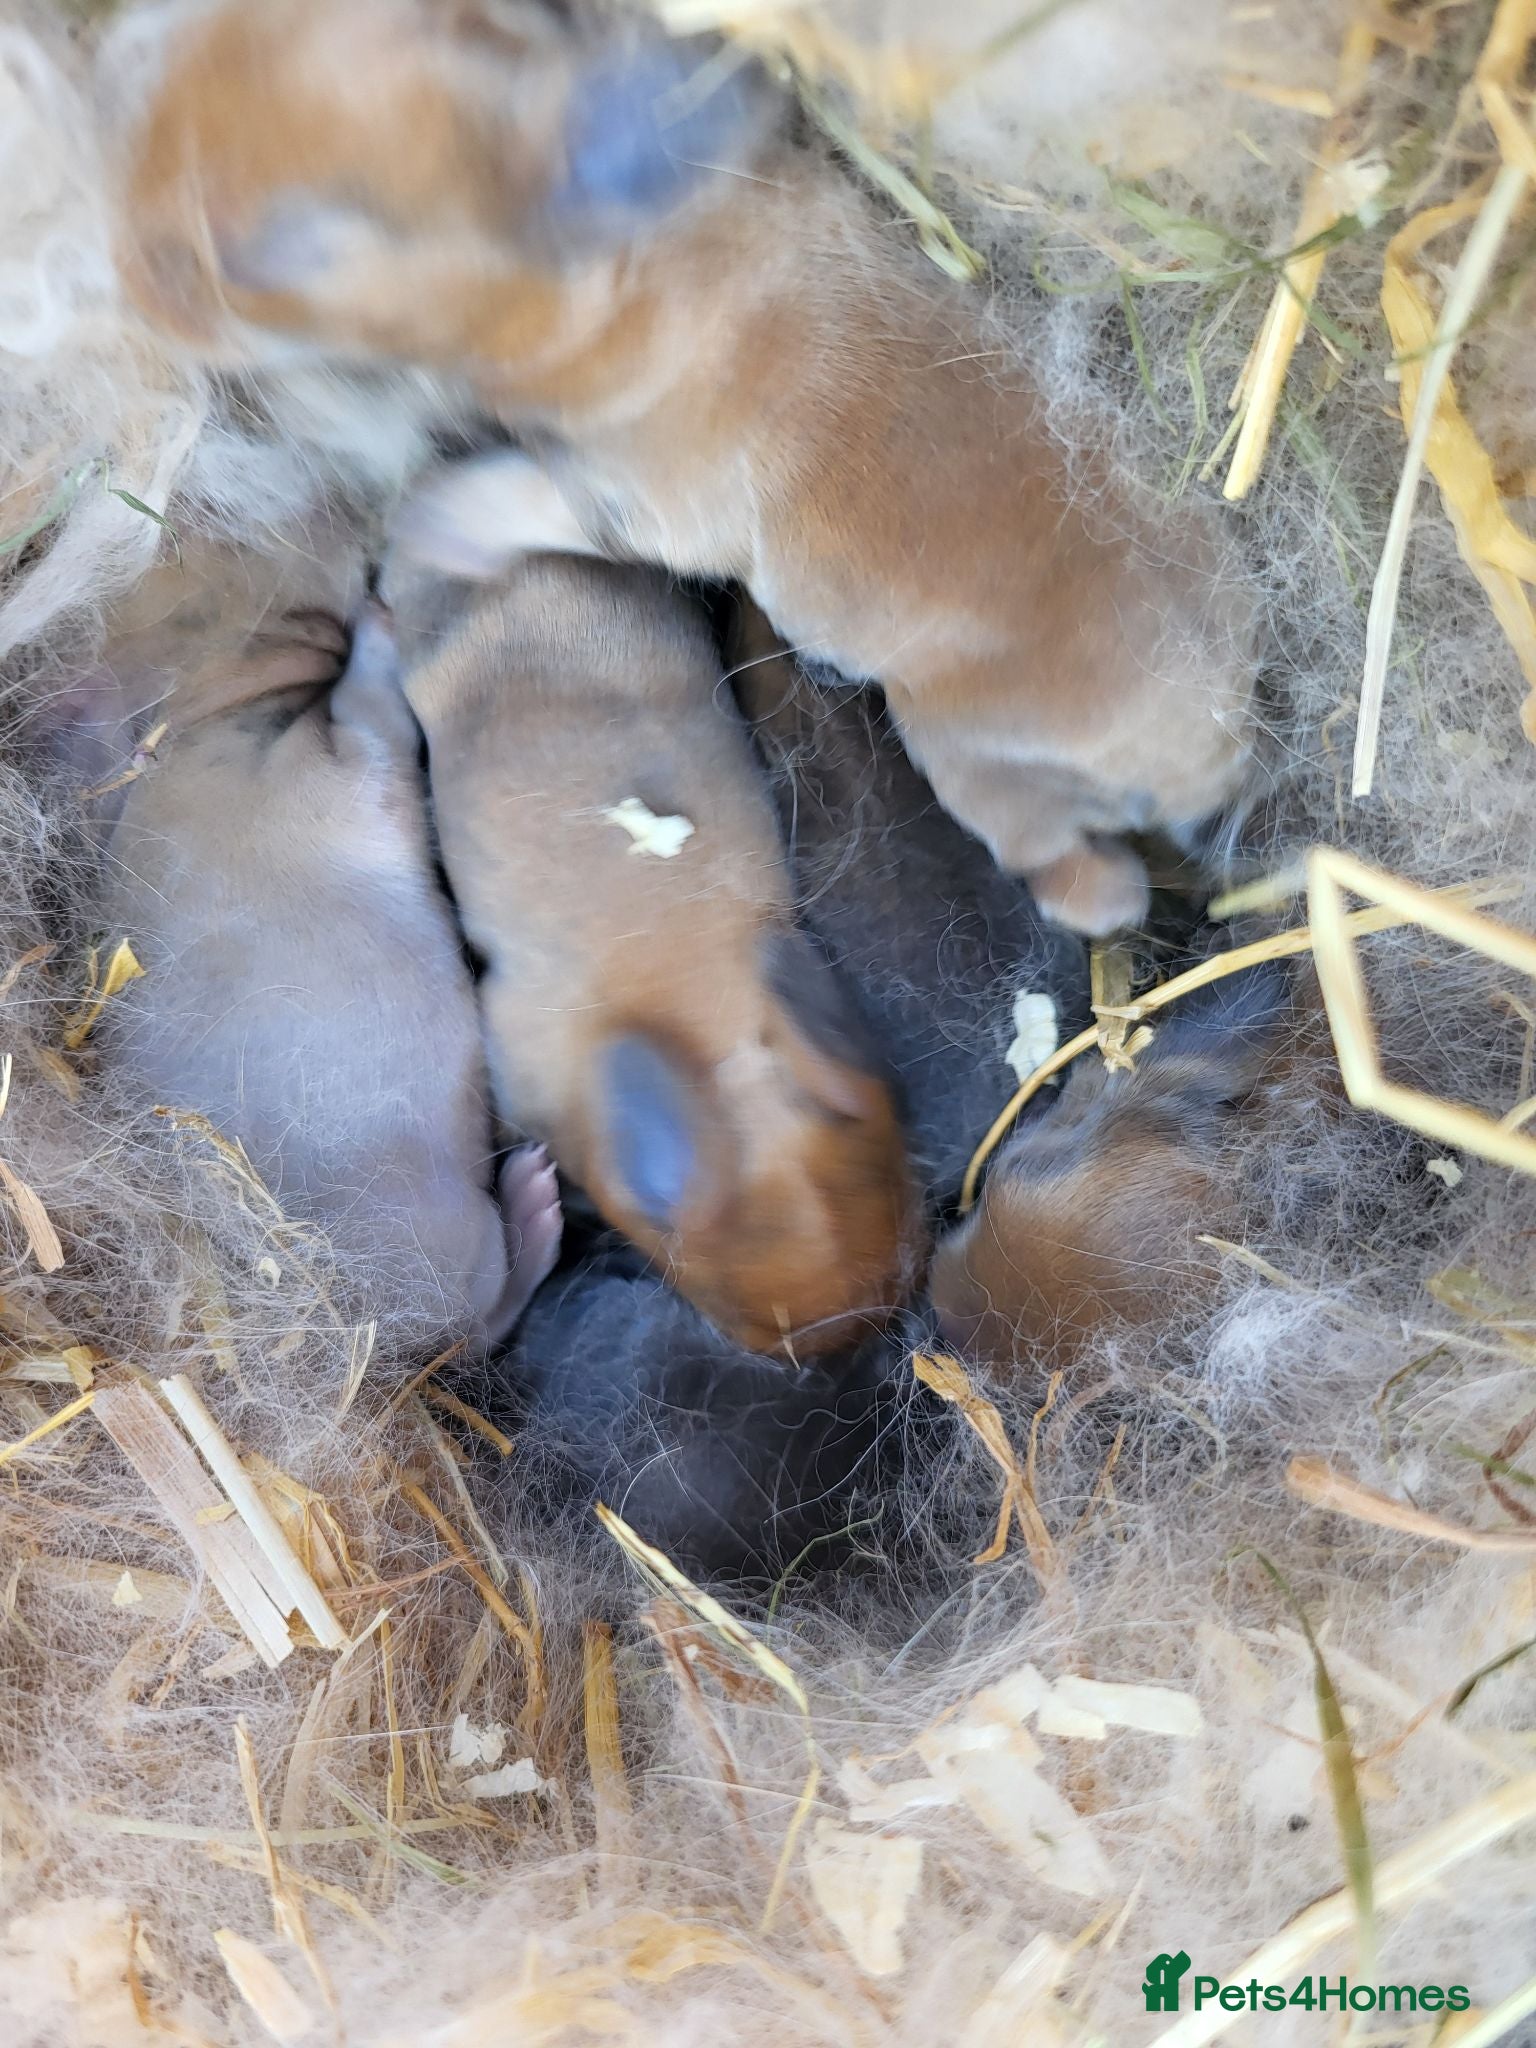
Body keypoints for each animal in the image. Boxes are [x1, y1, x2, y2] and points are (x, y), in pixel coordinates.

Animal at [67, 535, 558, 1343]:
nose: (361, 581)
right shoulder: (340, 764)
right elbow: (376, 710)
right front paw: (380, 620)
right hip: (459, 1243)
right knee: (491, 1313)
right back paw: (536, 1195)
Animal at [111, 0, 1257, 935]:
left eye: (283, 248)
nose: (130, 274)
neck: (647, 263)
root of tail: (1212, 744)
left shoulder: (634, 498)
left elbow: (524, 495)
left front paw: (430, 518)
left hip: (977, 760)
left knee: (1068, 864)